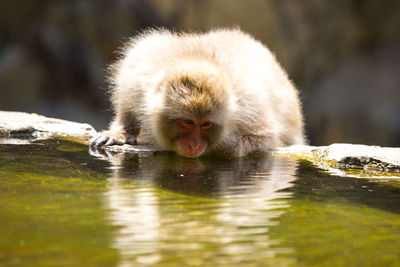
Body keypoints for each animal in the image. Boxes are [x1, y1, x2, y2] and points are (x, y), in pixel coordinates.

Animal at [90, 28, 304, 159]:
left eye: (206, 124)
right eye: (188, 122)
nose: (194, 145)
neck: (198, 58)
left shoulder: (250, 105)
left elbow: (263, 138)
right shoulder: (140, 69)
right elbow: (127, 101)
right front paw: (121, 132)